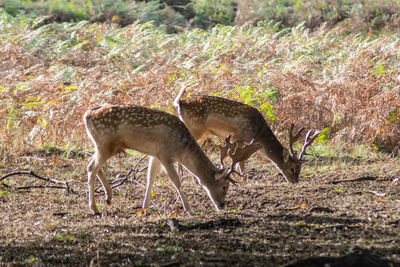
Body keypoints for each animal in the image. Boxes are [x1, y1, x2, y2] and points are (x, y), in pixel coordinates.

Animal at [83, 105, 256, 216]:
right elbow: (176, 181)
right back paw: (94, 208)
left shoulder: (156, 154)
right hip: (106, 144)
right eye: (225, 186)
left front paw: (145, 207)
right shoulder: (166, 154)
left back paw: (108, 197)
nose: (222, 205)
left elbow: (150, 178)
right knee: (91, 167)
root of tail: (87, 115)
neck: (182, 149)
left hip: (102, 145)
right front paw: (188, 209)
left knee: (92, 163)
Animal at [173, 88, 320, 184]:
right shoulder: (239, 136)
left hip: (201, 134)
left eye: (300, 169)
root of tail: (180, 103)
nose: (295, 182)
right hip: (195, 130)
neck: (259, 132)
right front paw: (243, 179)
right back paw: (185, 179)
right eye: (292, 168)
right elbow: (241, 160)